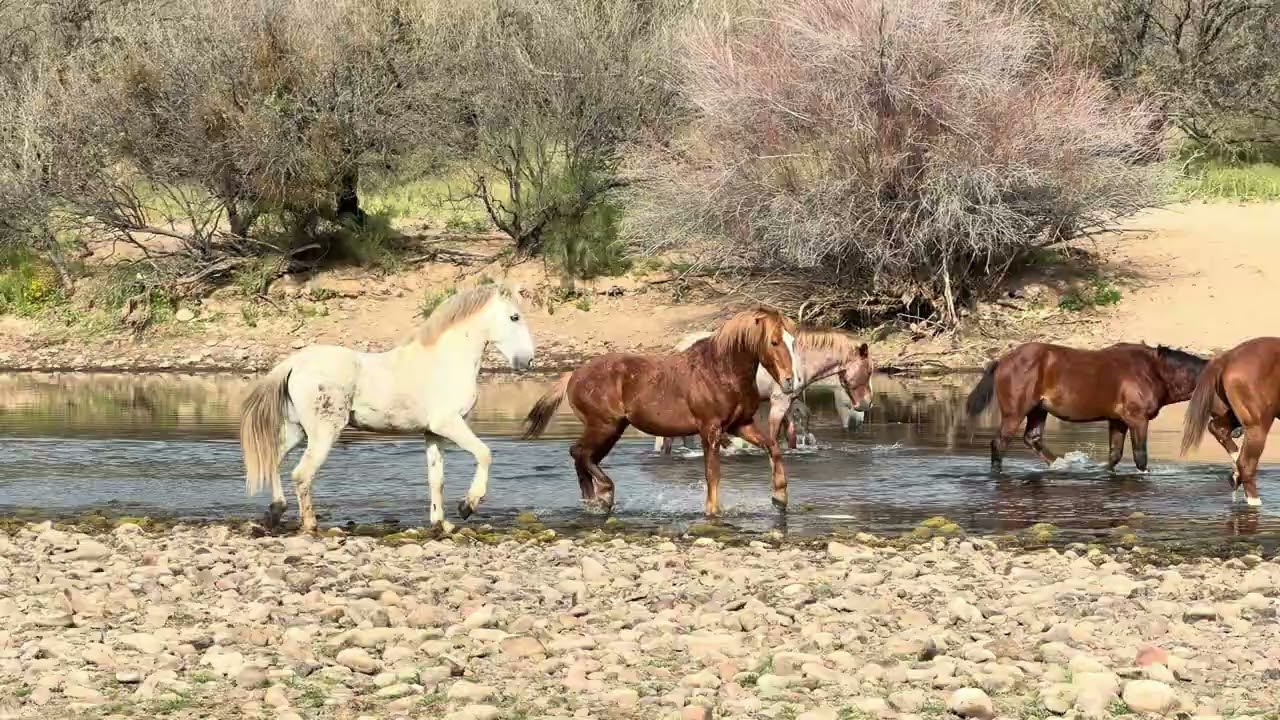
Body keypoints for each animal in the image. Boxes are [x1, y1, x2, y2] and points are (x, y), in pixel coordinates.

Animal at [239, 284, 535, 533]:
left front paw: (442, 524)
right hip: (323, 433)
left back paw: (276, 512)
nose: (527, 361)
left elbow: (436, 478)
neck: (446, 361)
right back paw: (311, 525)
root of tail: (293, 364)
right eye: (514, 317)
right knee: (301, 474)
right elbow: (484, 454)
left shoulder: (433, 433)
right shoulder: (449, 424)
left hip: (297, 430)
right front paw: (467, 506)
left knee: (274, 460)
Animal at [522, 307, 799, 516]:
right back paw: (604, 495)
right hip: (603, 426)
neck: (721, 371)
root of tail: (572, 376)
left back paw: (596, 500)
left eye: (793, 342)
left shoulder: (740, 424)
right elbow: (713, 474)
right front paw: (712, 511)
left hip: (612, 430)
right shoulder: (710, 429)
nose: (789, 381)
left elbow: (773, 447)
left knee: (584, 457)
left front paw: (780, 498)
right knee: (580, 453)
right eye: (774, 341)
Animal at [654, 328, 875, 454]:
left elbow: (792, 434)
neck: (799, 360)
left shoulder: (788, 402)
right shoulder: (778, 401)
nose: (867, 404)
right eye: (869, 370)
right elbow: (773, 434)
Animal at [965, 341, 1210, 472]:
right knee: (999, 444)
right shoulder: (1137, 419)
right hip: (1015, 413)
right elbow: (1140, 456)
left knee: (1033, 438)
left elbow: (1114, 455)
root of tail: (1003, 360)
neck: (1153, 371)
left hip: (1038, 410)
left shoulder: (1118, 420)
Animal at [1180, 336, 1280, 506]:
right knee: (1246, 463)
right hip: (1257, 424)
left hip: (1233, 415)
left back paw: (1235, 474)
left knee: (1218, 429)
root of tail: (1228, 357)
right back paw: (1254, 501)